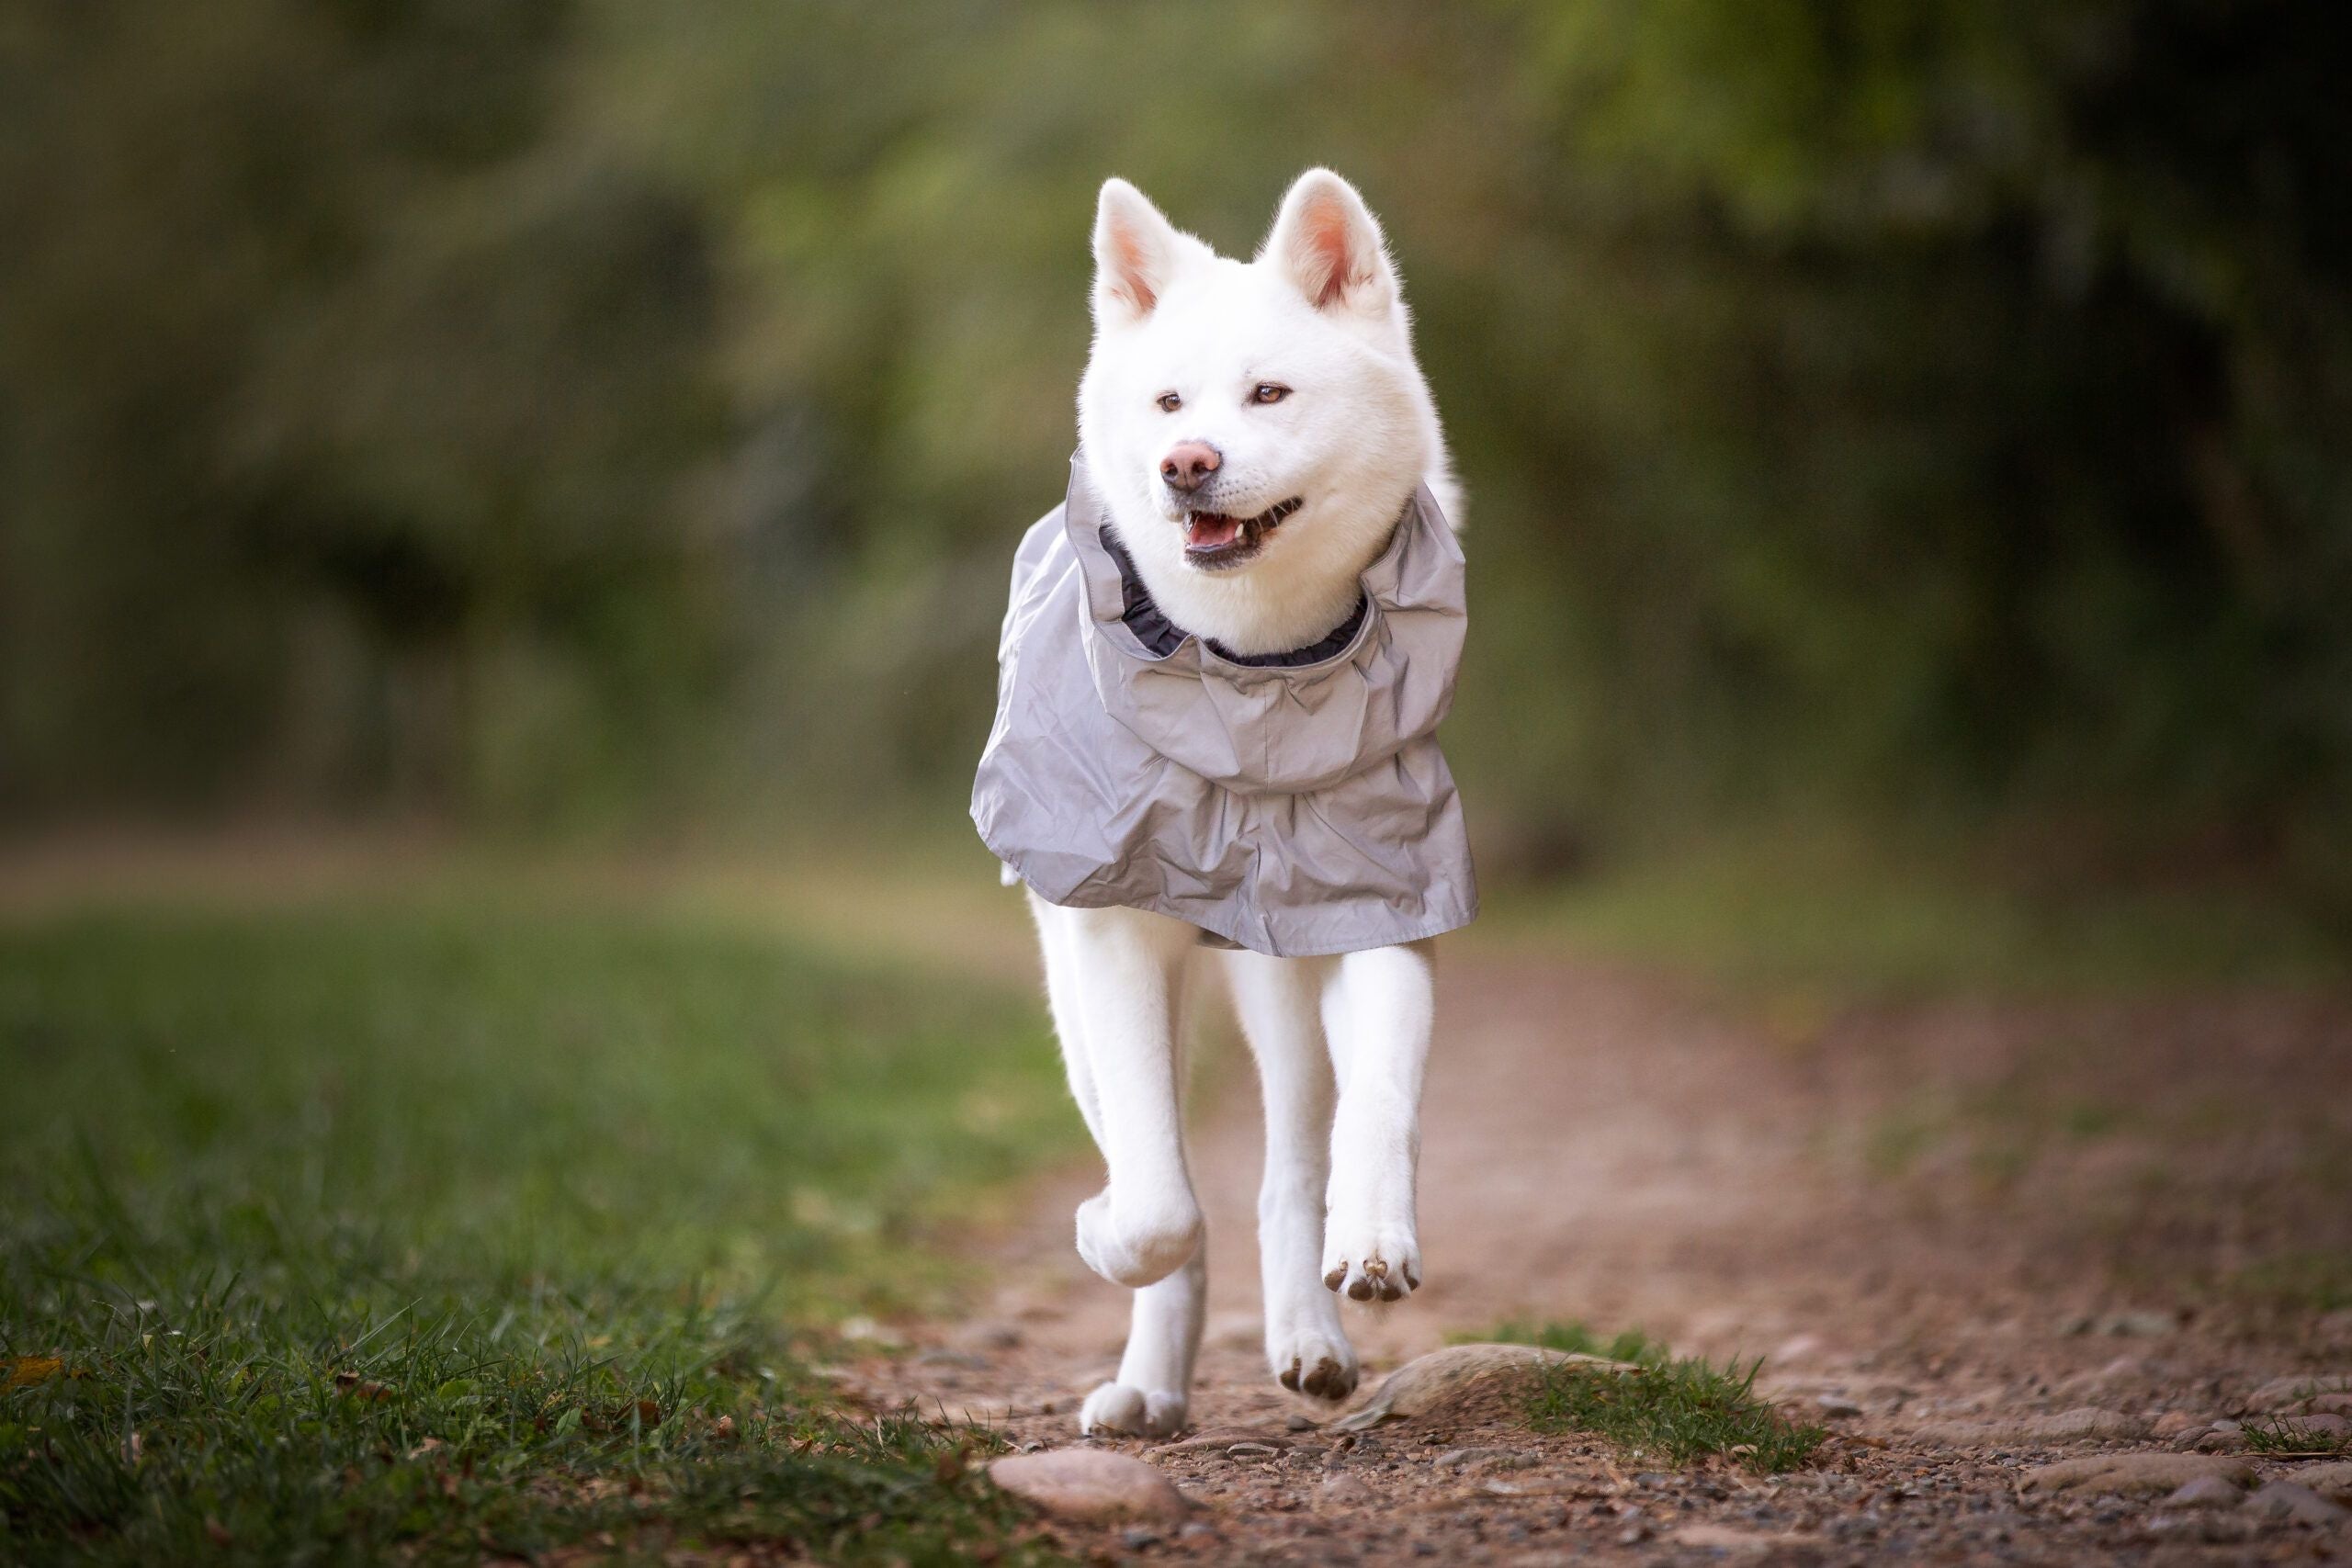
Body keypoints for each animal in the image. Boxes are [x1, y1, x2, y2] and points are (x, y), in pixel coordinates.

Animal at [973, 169, 1467, 1438]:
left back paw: (1310, 1335)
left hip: (1274, 984)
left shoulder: (1380, 903)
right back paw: (1149, 1382)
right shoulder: (1110, 939)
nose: (1185, 463)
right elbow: (1156, 1204)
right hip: (1075, 996)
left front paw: (1377, 1238)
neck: (1253, 695)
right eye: (1168, 402)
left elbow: (1380, 1102)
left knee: (1287, 1163)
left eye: (1268, 393)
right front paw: (1105, 1230)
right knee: (1161, 1174)